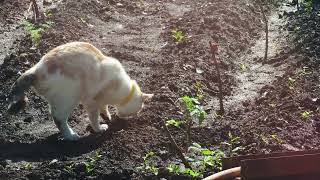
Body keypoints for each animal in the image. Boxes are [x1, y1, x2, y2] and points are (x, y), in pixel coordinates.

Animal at [6, 41, 153, 141]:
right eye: (137, 111)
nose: (134, 116)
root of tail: (36, 70)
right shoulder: (91, 102)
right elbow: (94, 119)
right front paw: (100, 128)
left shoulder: (100, 101)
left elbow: (104, 108)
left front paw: (107, 116)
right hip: (69, 99)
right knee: (58, 119)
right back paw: (71, 135)